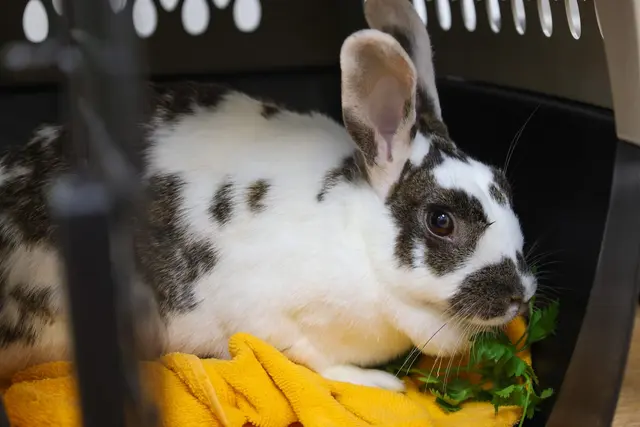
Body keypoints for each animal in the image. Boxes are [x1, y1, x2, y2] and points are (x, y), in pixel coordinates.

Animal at [0, 0, 536, 392]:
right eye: (441, 220)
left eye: (504, 186)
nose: (520, 294)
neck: (360, 244)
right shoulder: (273, 318)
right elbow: (315, 360)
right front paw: (383, 385)